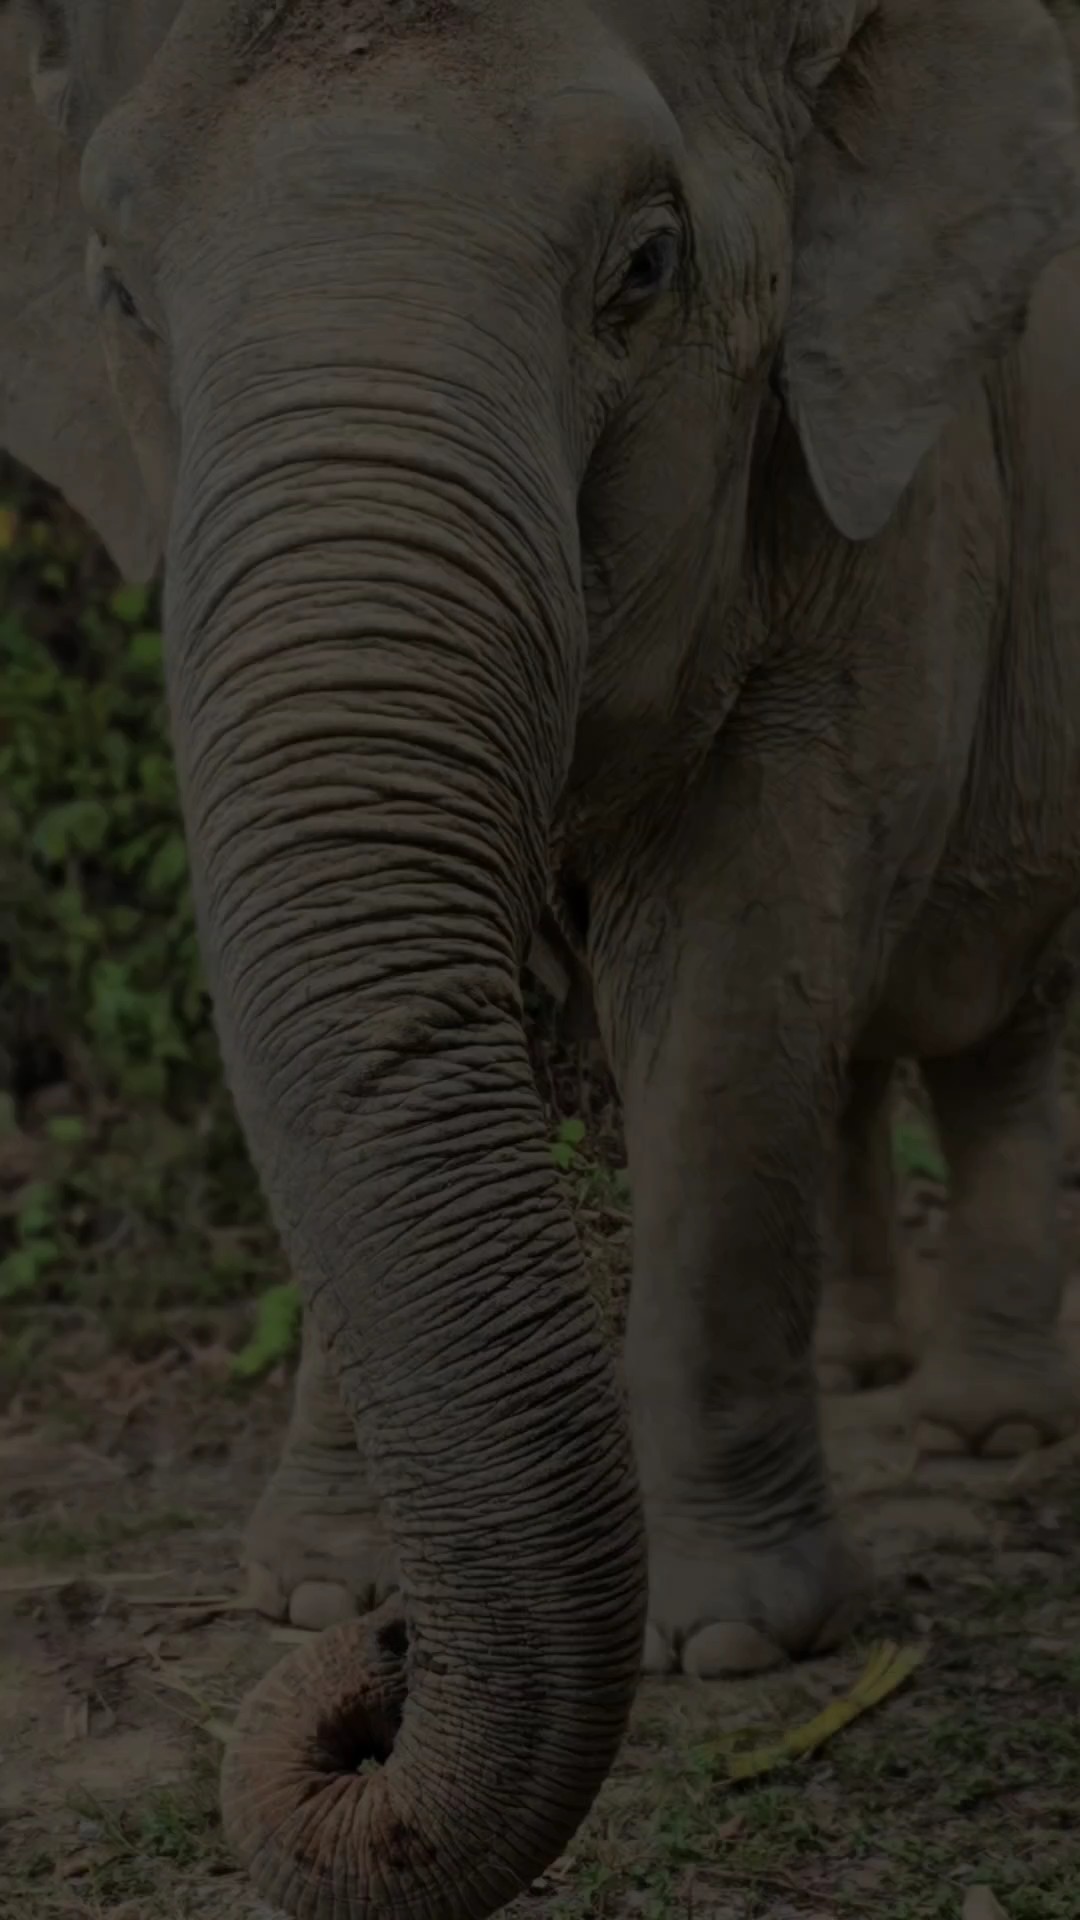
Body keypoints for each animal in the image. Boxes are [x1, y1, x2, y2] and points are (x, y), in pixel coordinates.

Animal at [4, 0, 1080, 1915]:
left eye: (646, 268)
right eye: (118, 291)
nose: (390, 1668)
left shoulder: (886, 496)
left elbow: (734, 979)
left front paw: (734, 1641)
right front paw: (316, 1585)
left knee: (985, 1013)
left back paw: (980, 1431)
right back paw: (874, 1377)